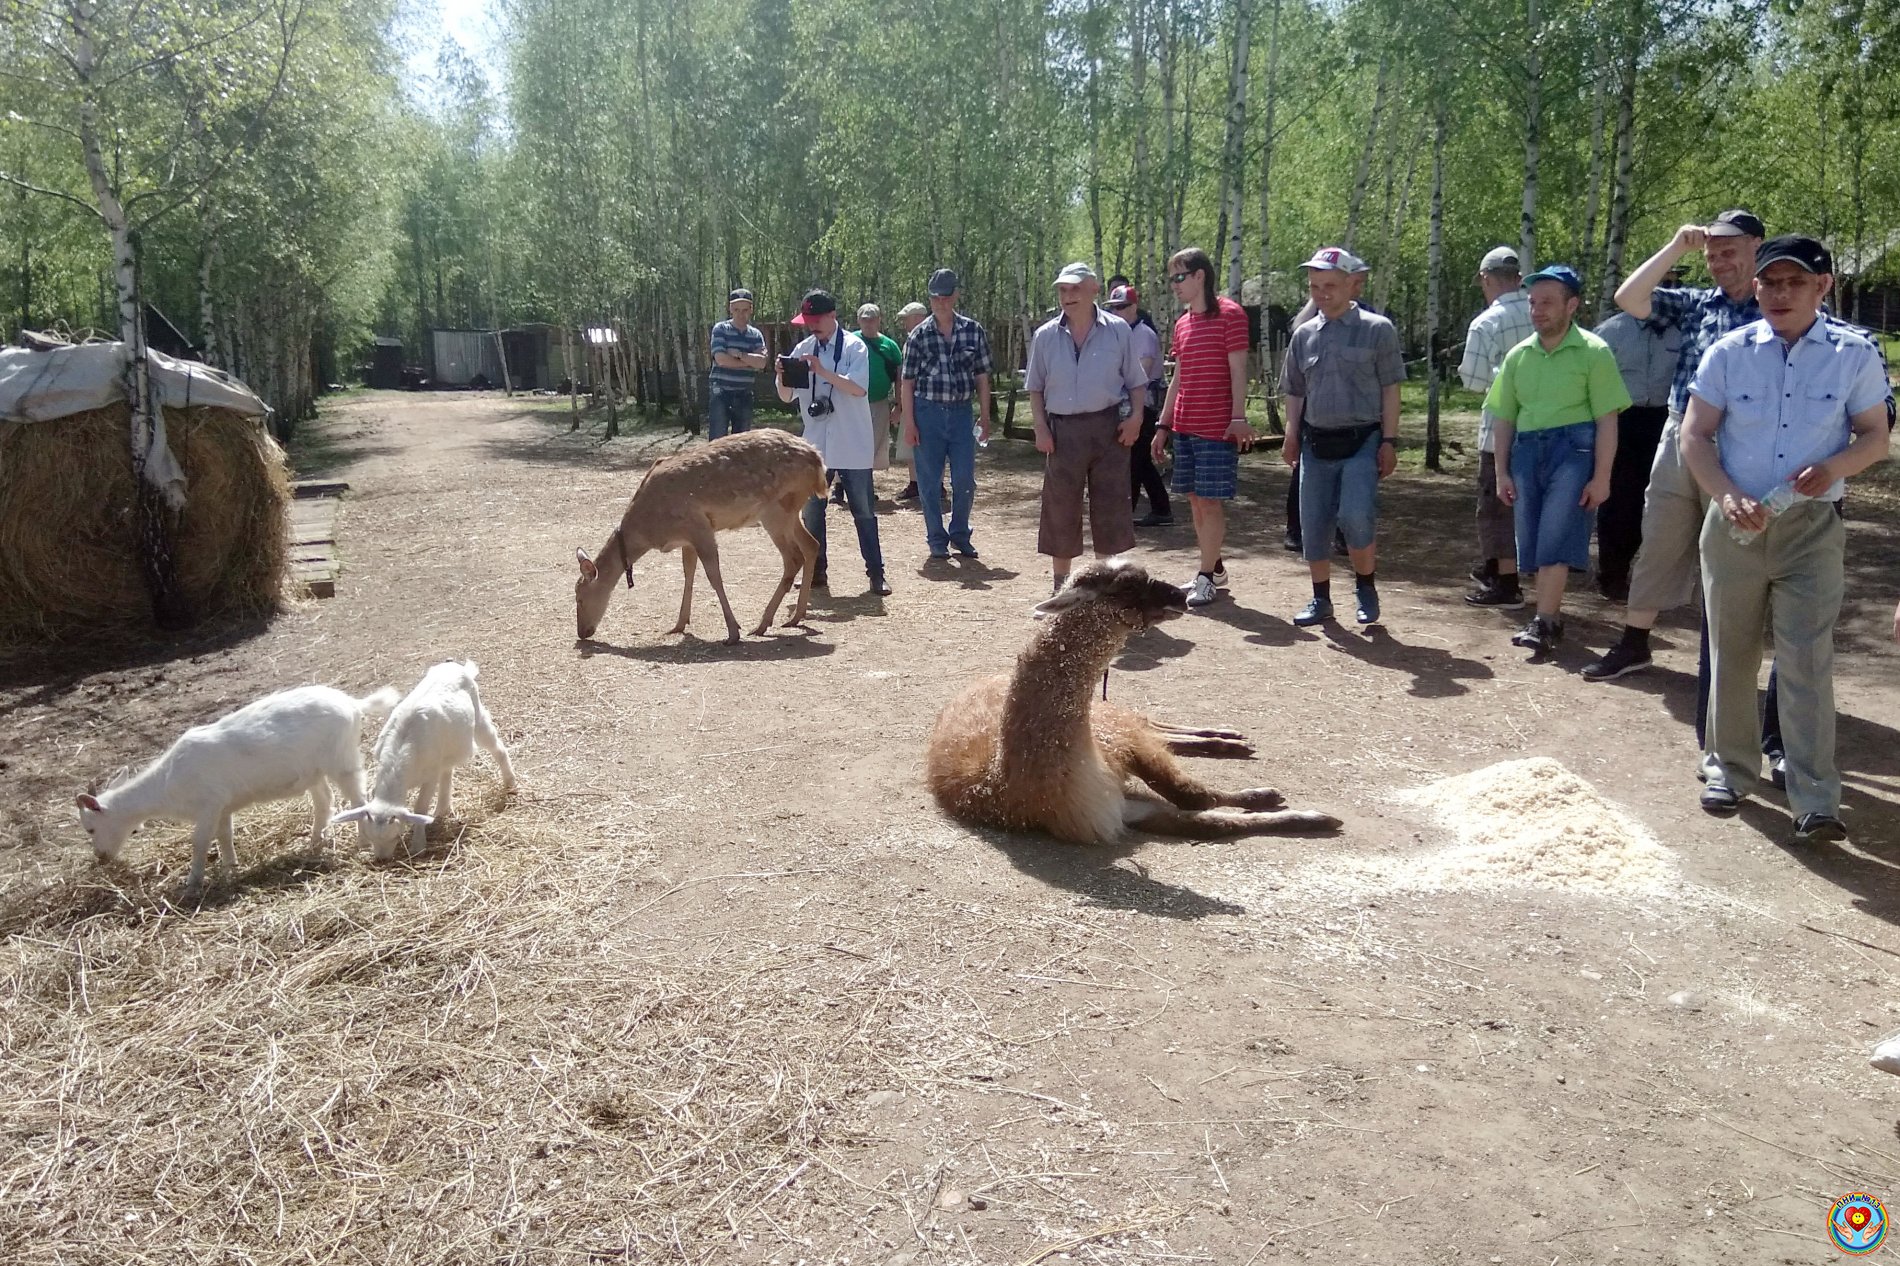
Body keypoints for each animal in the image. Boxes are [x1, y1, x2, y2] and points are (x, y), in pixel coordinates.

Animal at [76, 680, 399, 885]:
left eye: (90, 827)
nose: (101, 857)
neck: (168, 784)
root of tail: (354, 704)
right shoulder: (224, 806)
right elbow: (224, 836)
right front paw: (231, 869)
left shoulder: (209, 803)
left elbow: (200, 841)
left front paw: (193, 882)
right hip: (313, 771)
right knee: (325, 801)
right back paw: (315, 842)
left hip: (341, 759)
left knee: (358, 798)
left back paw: (360, 841)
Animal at [334, 653, 513, 851]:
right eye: (369, 835)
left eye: (394, 836)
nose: (382, 857)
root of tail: (457, 667)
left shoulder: (430, 776)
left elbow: (420, 807)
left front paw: (418, 845)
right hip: (447, 746)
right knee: (448, 770)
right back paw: (441, 810)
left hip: (478, 716)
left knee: (497, 747)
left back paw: (510, 782)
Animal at [570, 429, 824, 642]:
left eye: (579, 598)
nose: (582, 633)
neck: (649, 529)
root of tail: (818, 462)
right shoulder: (687, 538)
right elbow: (688, 573)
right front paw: (678, 624)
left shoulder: (698, 526)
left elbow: (714, 576)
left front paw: (733, 632)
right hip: (791, 511)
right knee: (811, 544)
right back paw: (795, 617)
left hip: (775, 510)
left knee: (793, 558)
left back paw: (762, 624)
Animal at [927, 558, 1345, 836]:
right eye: (1127, 584)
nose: (1180, 595)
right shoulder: (1122, 810)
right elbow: (1205, 816)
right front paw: (1296, 811)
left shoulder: (1123, 753)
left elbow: (1190, 793)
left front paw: (1280, 803)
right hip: (1110, 724)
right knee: (1156, 731)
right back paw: (1229, 742)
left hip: (1110, 722)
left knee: (1150, 724)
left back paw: (1228, 738)